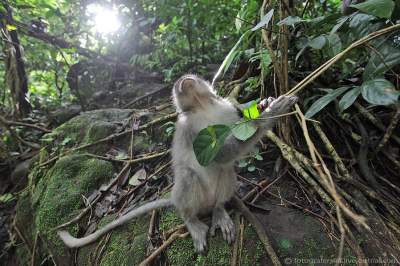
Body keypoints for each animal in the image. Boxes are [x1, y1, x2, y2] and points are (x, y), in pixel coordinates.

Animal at [58, 75, 296, 254]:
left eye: (191, 77)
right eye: (179, 83)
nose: (184, 80)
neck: (203, 106)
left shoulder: (226, 108)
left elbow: (229, 148)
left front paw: (264, 104)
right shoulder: (189, 126)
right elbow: (215, 154)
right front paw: (269, 114)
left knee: (225, 172)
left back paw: (219, 210)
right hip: (188, 199)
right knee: (189, 176)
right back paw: (192, 221)